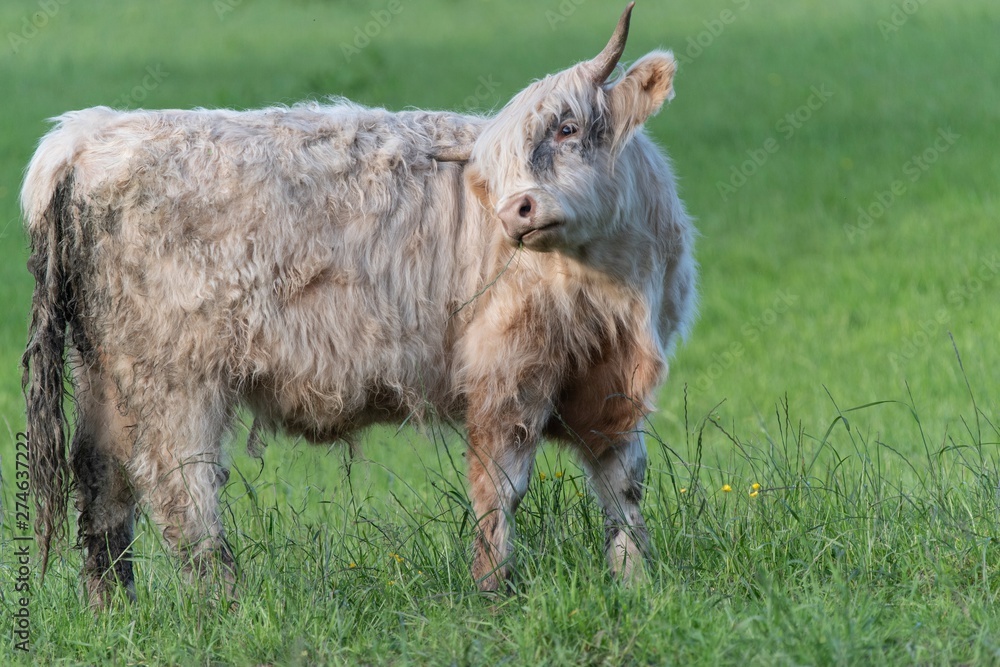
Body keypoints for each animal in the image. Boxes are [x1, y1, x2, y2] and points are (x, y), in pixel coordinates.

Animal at [21, 3, 696, 607]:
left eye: (567, 128)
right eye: (491, 174)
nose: (515, 212)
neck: (618, 288)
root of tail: (88, 132)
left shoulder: (610, 385)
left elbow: (623, 484)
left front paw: (636, 581)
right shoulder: (510, 376)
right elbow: (501, 487)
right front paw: (494, 589)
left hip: (105, 374)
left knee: (102, 480)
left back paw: (114, 608)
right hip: (174, 381)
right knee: (180, 491)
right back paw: (222, 604)